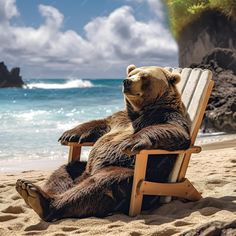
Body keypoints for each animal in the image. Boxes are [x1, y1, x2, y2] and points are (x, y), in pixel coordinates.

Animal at [15, 64, 191, 221]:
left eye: (144, 76)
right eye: (132, 73)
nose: (126, 81)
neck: (139, 111)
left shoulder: (165, 115)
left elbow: (173, 130)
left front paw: (131, 142)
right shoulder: (119, 118)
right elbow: (101, 124)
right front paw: (69, 134)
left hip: (133, 176)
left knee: (101, 183)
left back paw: (42, 201)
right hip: (84, 170)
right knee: (64, 171)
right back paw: (30, 190)